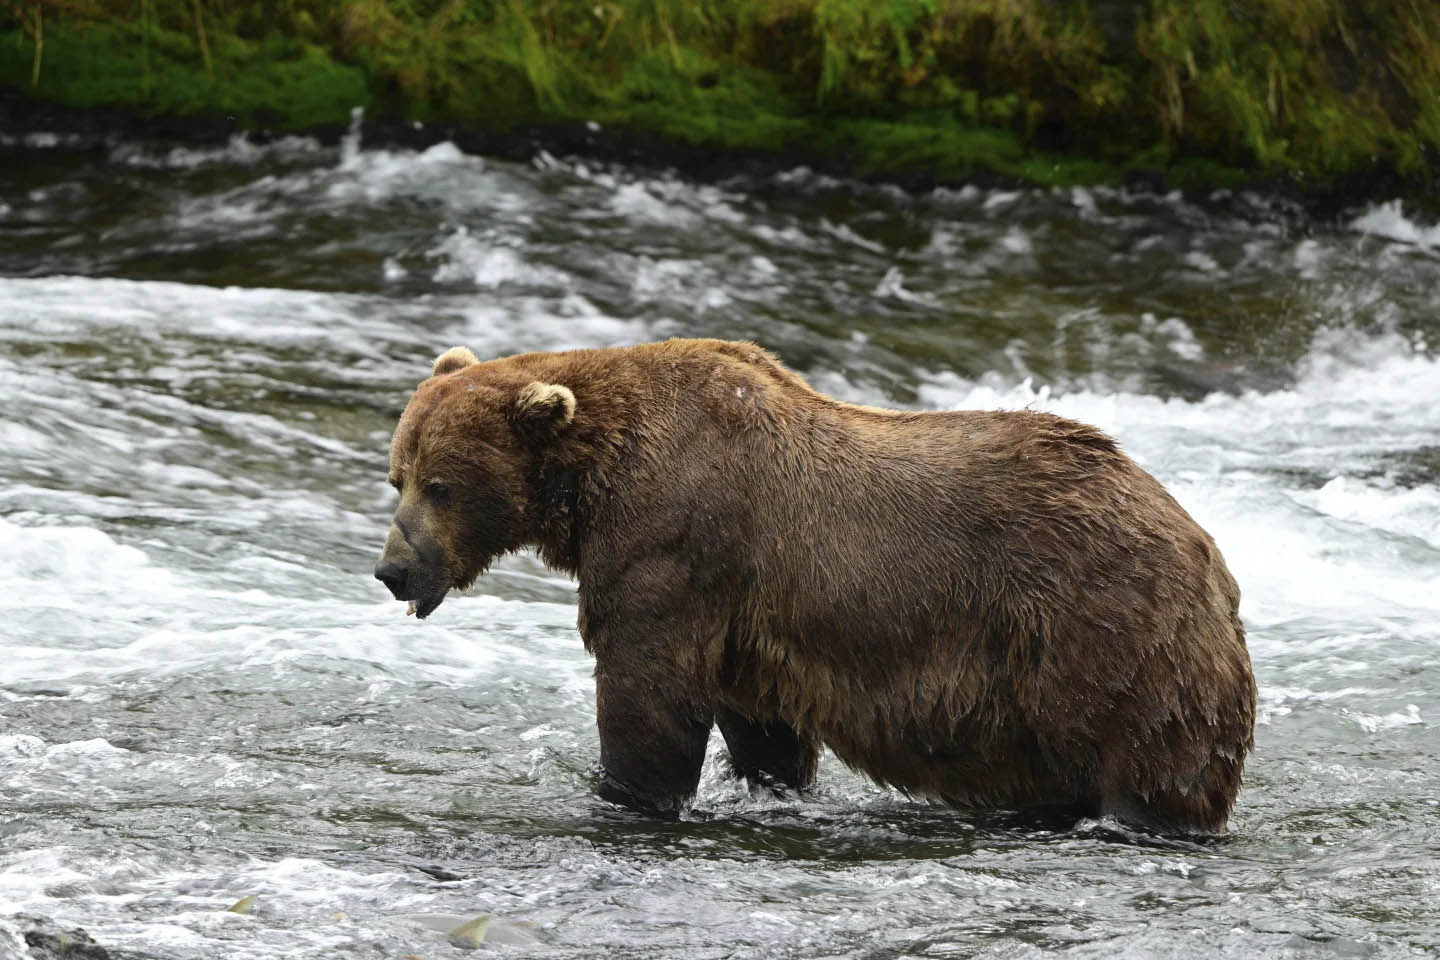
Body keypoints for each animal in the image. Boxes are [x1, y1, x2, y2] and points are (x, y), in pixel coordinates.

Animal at [374, 338, 1256, 833]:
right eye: (398, 476)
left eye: (441, 485)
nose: (392, 569)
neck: (590, 480)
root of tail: (1207, 550)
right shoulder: (745, 615)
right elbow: (759, 725)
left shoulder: (675, 539)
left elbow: (647, 691)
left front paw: (624, 792)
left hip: (1103, 628)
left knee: (1149, 759)